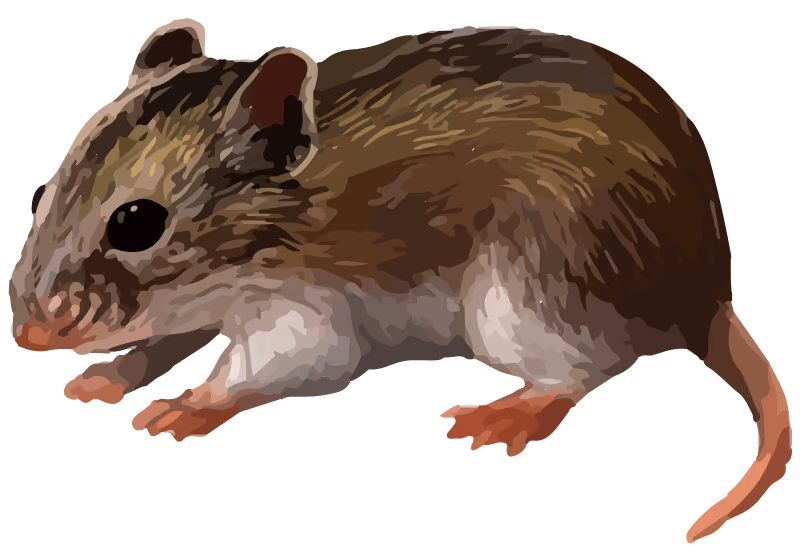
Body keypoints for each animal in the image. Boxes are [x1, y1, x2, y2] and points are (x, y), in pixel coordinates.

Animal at [8, 20, 790, 543]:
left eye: (137, 223)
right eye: (45, 191)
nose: (28, 336)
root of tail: (710, 294)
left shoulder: (304, 316)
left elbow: (251, 370)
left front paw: (179, 409)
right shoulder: (196, 306)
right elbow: (160, 345)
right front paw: (99, 381)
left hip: (526, 300)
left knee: (587, 370)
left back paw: (504, 416)